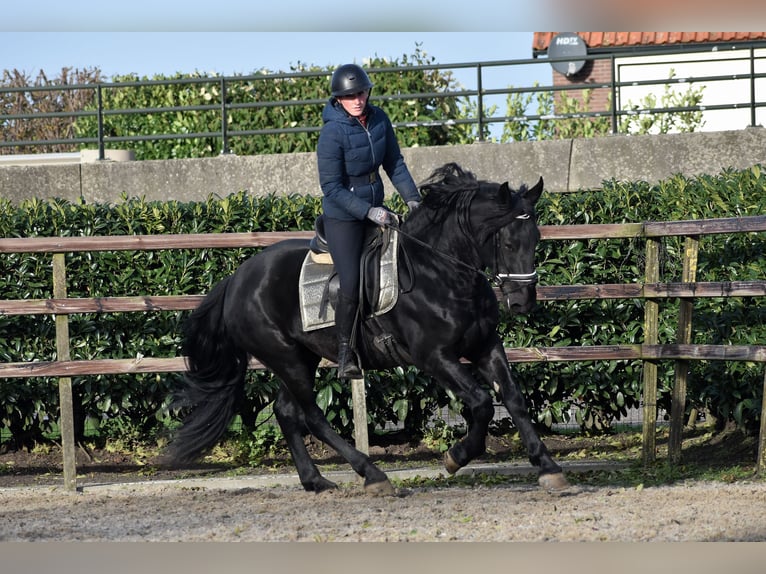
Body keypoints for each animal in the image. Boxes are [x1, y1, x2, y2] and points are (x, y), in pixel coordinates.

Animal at [165, 162, 568, 496]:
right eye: (508, 242)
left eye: (536, 239)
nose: (522, 302)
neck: (441, 271)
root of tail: (236, 279)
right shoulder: (435, 357)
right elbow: (483, 403)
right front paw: (456, 456)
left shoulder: (485, 345)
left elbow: (513, 399)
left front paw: (547, 467)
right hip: (286, 358)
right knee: (311, 416)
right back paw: (372, 475)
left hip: (301, 357)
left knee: (286, 412)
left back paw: (316, 481)